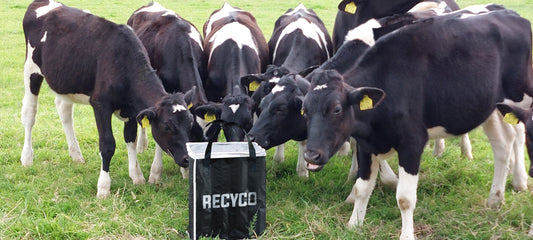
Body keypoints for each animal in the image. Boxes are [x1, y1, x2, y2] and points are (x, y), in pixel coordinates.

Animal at [21, 0, 195, 198]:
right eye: (167, 126)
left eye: (190, 124)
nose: (187, 158)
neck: (123, 62)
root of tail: (42, 3)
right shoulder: (100, 104)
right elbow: (107, 144)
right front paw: (103, 187)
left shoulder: (131, 109)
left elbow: (130, 138)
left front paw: (137, 176)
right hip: (31, 70)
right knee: (29, 114)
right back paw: (27, 157)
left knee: (64, 111)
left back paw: (76, 154)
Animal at [302, 8, 528, 239]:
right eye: (304, 110)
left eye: (337, 109)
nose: (311, 155)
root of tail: (508, 13)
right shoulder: (366, 145)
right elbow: (362, 187)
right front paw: (354, 225)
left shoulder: (412, 144)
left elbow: (404, 198)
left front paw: (406, 234)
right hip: (490, 108)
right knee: (502, 144)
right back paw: (495, 199)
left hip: (521, 99)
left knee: (518, 134)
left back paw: (518, 182)